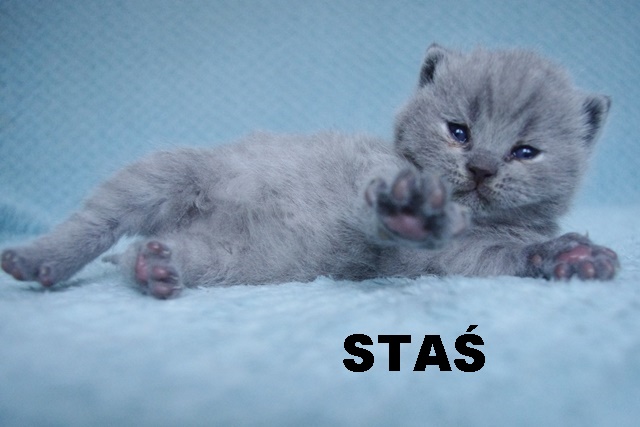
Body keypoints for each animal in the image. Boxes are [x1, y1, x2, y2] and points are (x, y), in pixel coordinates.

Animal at [1, 44, 619, 299]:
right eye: (459, 131)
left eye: (524, 152)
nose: (483, 168)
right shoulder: (380, 197)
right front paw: (414, 209)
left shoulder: (458, 257)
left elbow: (504, 253)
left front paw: (573, 256)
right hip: (165, 171)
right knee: (94, 224)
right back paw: (38, 259)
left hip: (228, 262)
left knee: (143, 253)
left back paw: (154, 267)